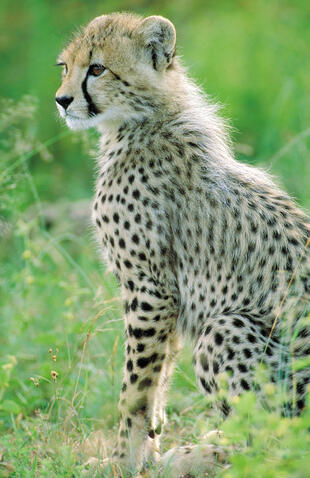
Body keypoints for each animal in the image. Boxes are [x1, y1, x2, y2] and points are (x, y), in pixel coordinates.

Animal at [55, 13, 310, 476]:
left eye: (97, 68)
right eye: (65, 67)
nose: (62, 100)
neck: (143, 119)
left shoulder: (150, 289)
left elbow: (134, 390)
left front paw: (121, 460)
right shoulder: (167, 296)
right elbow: (158, 376)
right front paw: (149, 442)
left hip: (225, 328)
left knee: (277, 445)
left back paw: (196, 456)